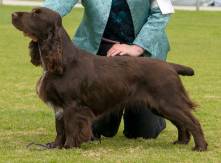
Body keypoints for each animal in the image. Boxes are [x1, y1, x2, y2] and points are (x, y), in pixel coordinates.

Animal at [12, 7, 208, 152]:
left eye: (36, 14)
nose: (13, 14)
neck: (63, 61)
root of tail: (171, 66)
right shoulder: (59, 106)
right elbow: (60, 129)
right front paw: (55, 146)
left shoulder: (72, 105)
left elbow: (71, 127)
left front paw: (69, 146)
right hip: (160, 105)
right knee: (182, 123)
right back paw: (181, 142)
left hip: (167, 101)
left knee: (192, 121)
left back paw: (200, 147)